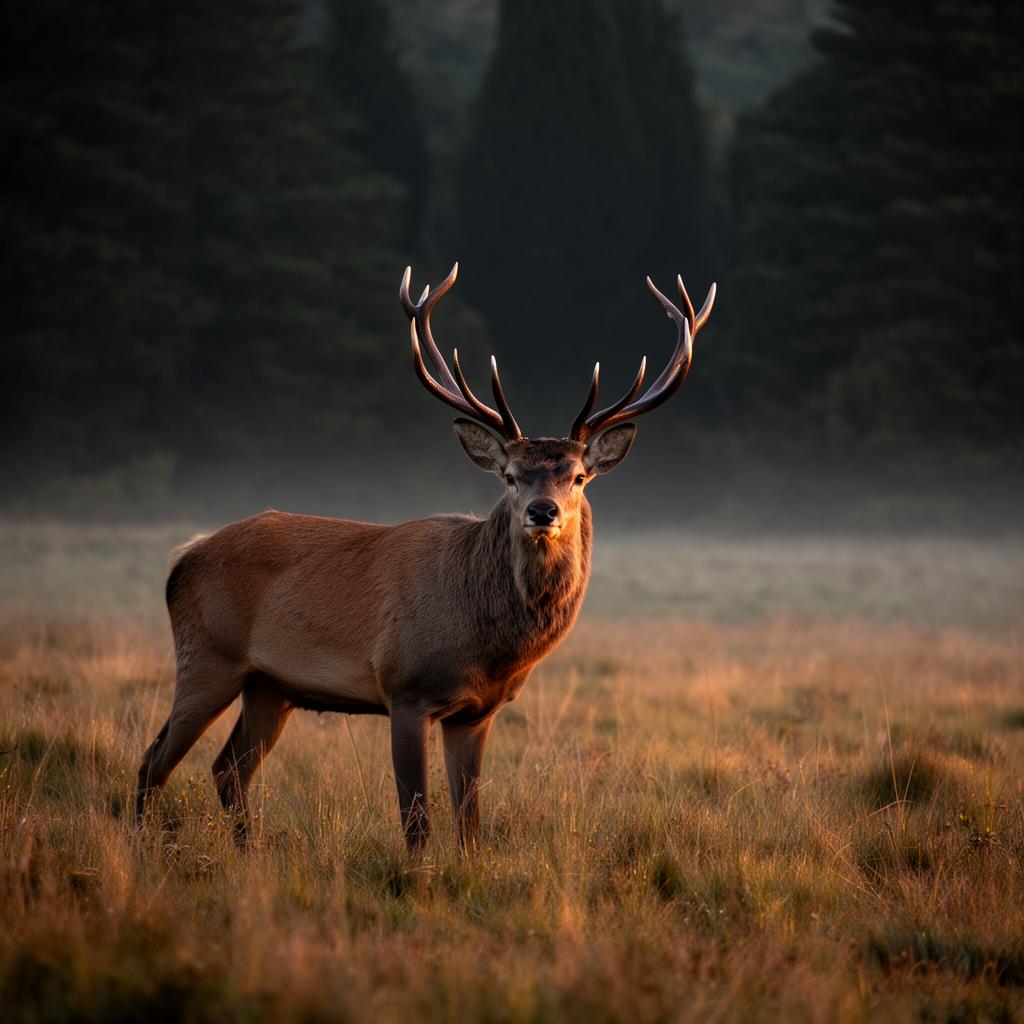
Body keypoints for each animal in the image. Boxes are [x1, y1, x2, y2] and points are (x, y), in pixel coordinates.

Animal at [135, 263, 715, 851]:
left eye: (577, 476)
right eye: (510, 476)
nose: (542, 511)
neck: (487, 643)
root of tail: (183, 557)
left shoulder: (477, 711)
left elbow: (470, 822)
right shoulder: (404, 688)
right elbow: (417, 821)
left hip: (270, 685)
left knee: (229, 770)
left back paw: (248, 854)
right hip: (208, 654)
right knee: (154, 761)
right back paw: (143, 846)